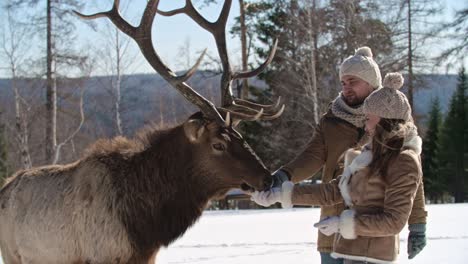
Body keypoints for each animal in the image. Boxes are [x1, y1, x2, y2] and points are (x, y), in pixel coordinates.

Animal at [0, 0, 282, 264]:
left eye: (239, 136)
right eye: (218, 144)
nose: (267, 178)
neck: (145, 227)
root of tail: (6, 187)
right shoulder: (102, 254)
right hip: (13, 253)